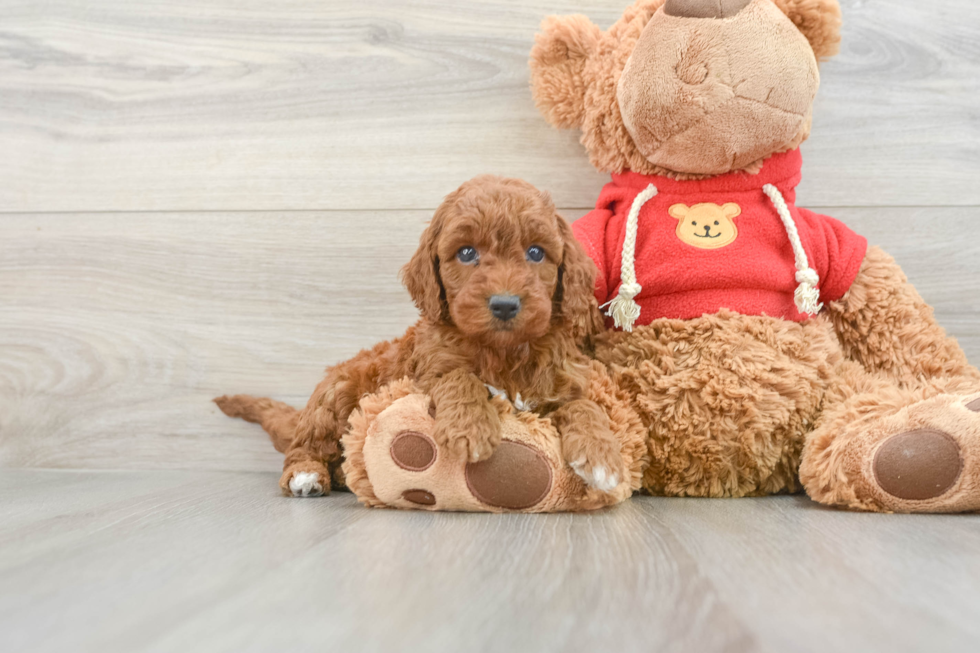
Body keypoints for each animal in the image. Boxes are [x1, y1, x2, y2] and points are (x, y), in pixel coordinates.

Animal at [219, 176, 624, 496]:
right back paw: (306, 475)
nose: (505, 305)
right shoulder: (422, 373)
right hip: (334, 397)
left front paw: (602, 455)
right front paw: (470, 427)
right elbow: (458, 377)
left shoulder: (559, 387)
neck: (503, 351)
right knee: (304, 446)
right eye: (466, 252)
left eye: (536, 252)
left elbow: (584, 406)